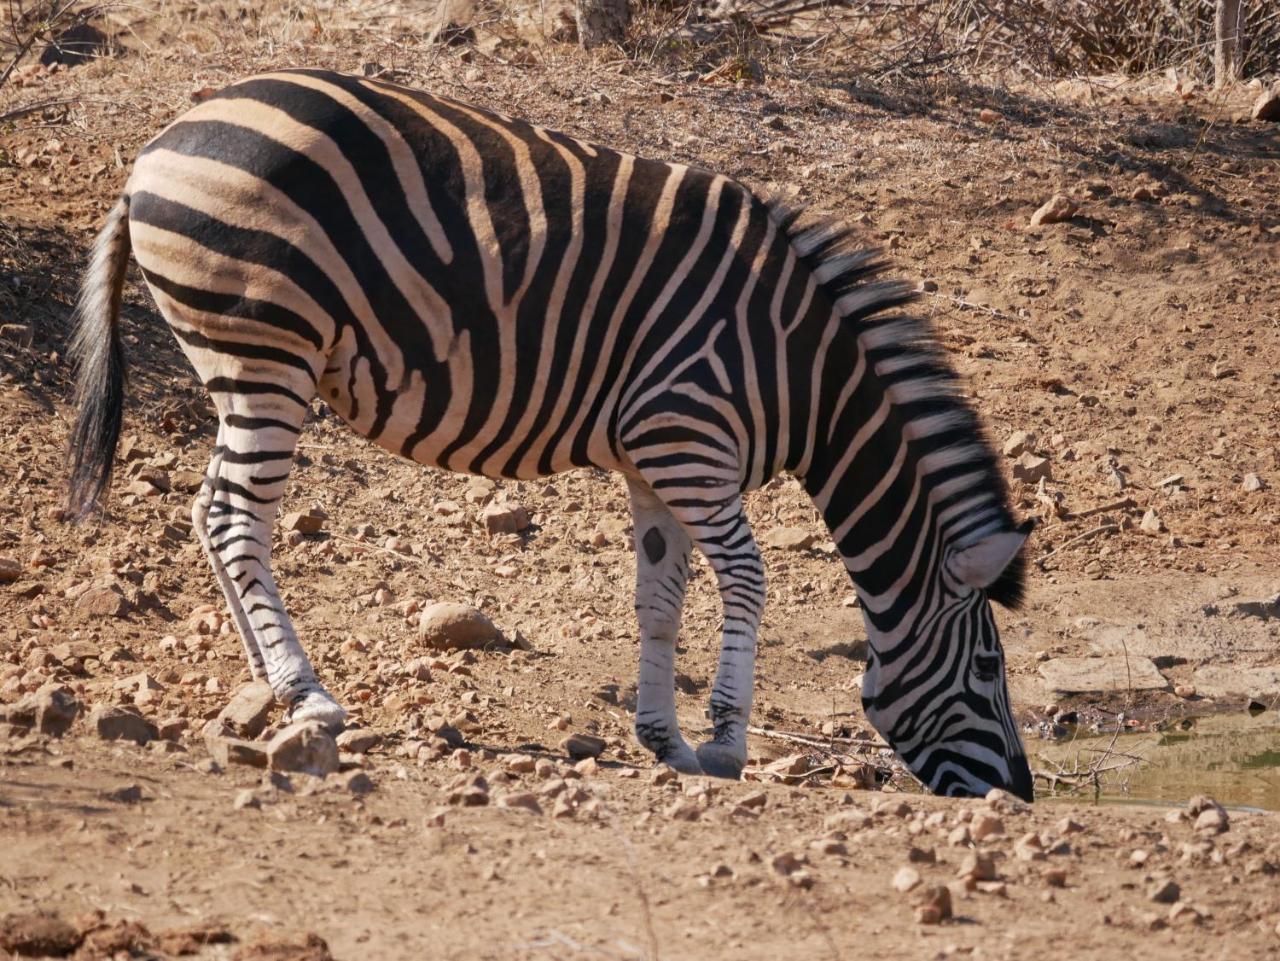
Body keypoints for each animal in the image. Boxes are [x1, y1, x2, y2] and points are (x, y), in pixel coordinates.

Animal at [64, 67, 1034, 798]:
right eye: (990, 671)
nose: (1021, 795)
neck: (799, 371)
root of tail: (158, 146)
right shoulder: (690, 439)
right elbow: (750, 580)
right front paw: (726, 742)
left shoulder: (657, 462)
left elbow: (659, 600)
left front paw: (664, 739)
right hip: (267, 353)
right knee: (236, 521)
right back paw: (310, 694)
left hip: (240, 369)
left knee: (209, 515)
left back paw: (270, 684)